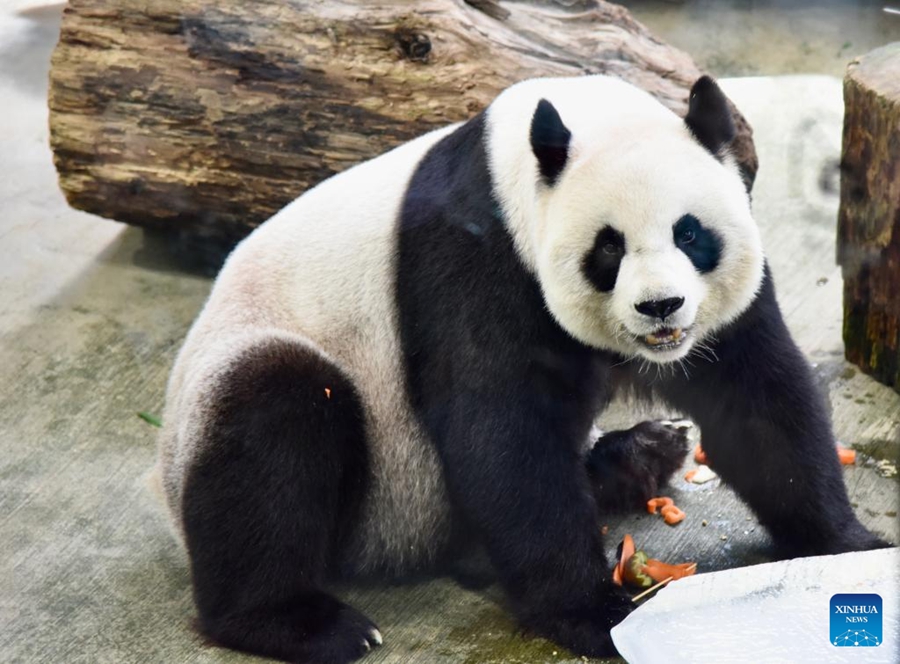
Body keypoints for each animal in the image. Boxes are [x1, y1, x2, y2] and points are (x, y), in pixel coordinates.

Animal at [156, 74, 884, 664]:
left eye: (689, 233)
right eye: (609, 248)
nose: (660, 308)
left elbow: (758, 398)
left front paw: (849, 543)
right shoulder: (476, 261)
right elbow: (503, 436)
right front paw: (597, 616)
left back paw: (642, 453)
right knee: (274, 422)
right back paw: (301, 623)